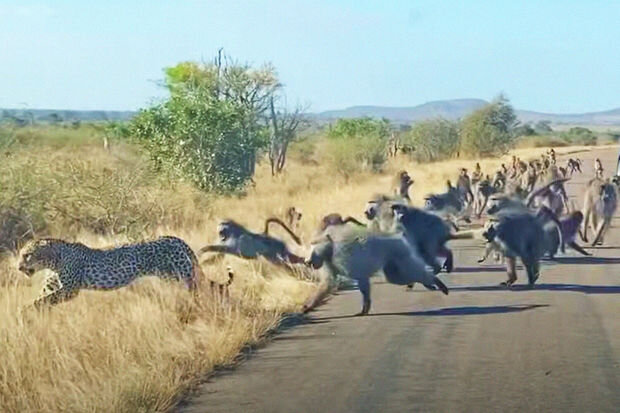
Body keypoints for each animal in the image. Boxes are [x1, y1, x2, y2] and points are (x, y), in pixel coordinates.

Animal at [17, 235, 205, 306]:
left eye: (27, 255)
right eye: (21, 255)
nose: (18, 267)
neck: (53, 260)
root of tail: (173, 237)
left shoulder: (71, 289)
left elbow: (46, 299)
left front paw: (31, 309)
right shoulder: (52, 285)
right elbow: (43, 297)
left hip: (181, 274)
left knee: (199, 287)